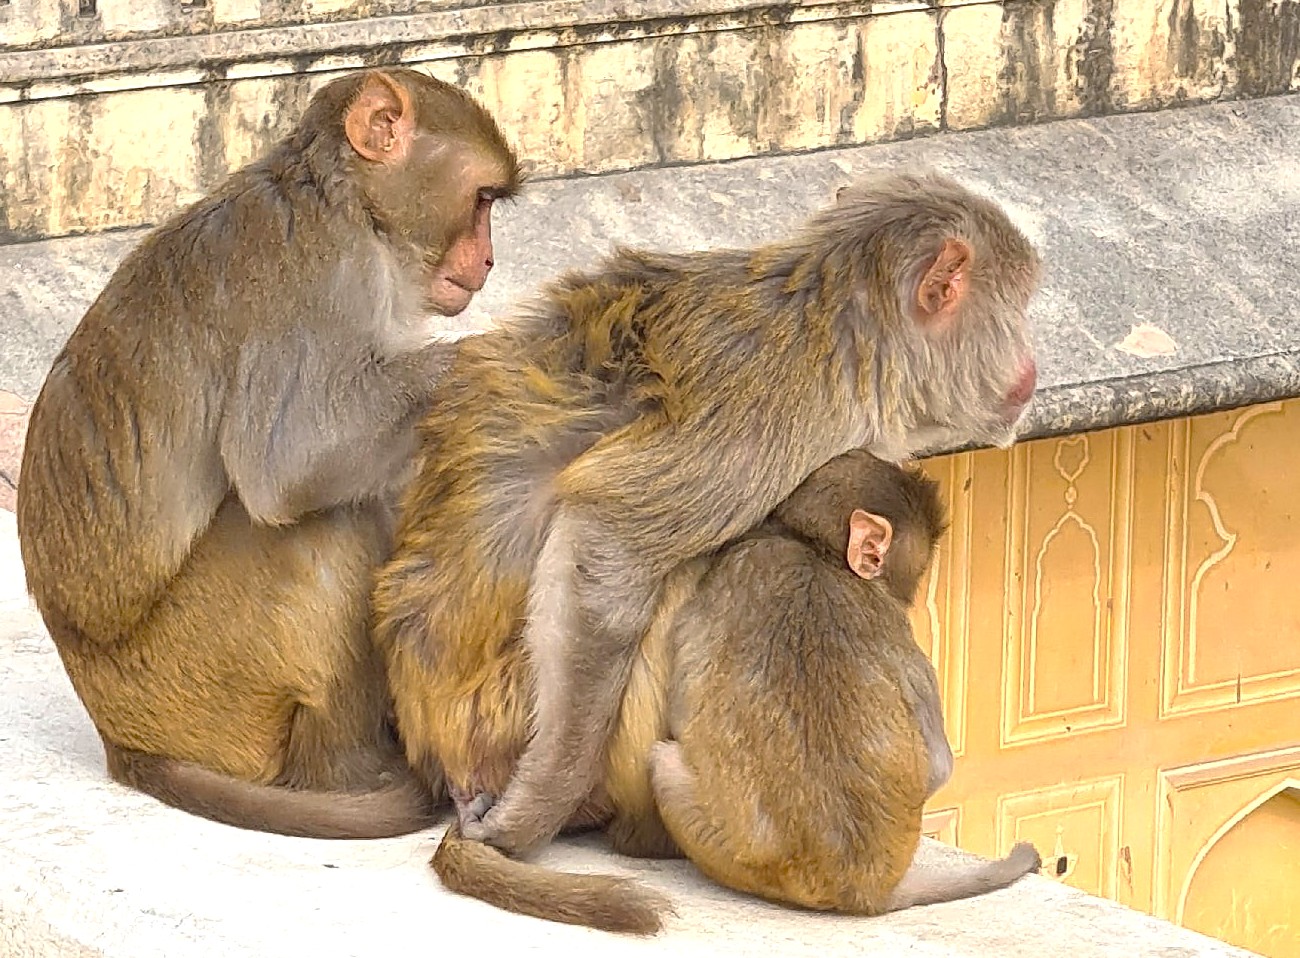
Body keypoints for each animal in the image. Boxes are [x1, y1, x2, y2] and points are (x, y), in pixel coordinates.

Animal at [16, 68, 521, 839]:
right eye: (483, 199)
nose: (489, 260)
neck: (350, 205)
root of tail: (118, 739)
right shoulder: (320, 276)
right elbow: (290, 460)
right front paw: (498, 355)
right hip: (195, 691)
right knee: (318, 530)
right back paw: (350, 774)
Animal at [372, 170, 1042, 859]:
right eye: (1019, 306)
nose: (1032, 348)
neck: (848, 332)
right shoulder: (784, 408)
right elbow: (606, 534)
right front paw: (535, 806)